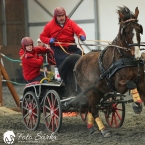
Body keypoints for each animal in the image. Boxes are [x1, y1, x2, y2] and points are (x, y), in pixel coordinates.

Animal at [58, 5, 144, 137]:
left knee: (90, 108)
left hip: (98, 91)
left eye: (139, 29)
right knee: (93, 109)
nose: (138, 55)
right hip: (90, 91)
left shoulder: (141, 82)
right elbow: (131, 84)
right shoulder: (119, 85)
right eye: (126, 31)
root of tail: (79, 60)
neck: (124, 57)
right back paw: (103, 130)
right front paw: (137, 105)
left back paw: (91, 127)